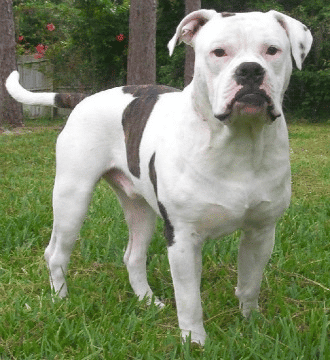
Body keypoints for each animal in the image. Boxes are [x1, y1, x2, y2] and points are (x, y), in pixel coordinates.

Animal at [6, 9, 314, 344]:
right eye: (219, 52)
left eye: (272, 50)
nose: (250, 71)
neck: (239, 142)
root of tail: (85, 98)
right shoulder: (182, 238)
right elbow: (190, 299)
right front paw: (195, 342)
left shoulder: (261, 233)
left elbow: (249, 284)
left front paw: (251, 325)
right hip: (72, 198)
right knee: (56, 254)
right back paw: (61, 299)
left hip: (140, 210)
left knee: (133, 256)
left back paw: (147, 301)